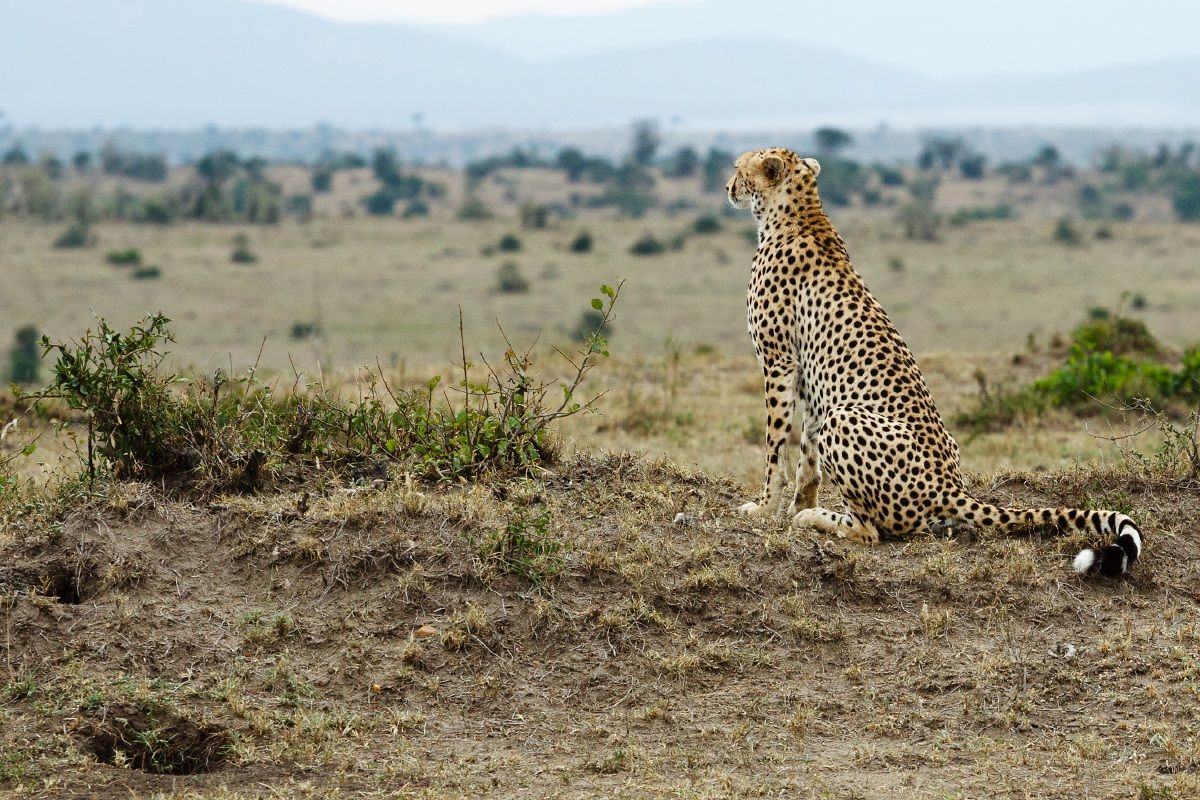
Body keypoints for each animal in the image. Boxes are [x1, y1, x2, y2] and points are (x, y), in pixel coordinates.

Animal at [727, 147, 1142, 577]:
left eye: (739, 169)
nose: (728, 187)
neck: (798, 212)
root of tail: (950, 486)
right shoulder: (806, 375)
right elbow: (806, 453)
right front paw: (800, 500)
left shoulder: (778, 362)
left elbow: (775, 447)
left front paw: (767, 509)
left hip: (844, 419)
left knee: (871, 531)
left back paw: (817, 519)